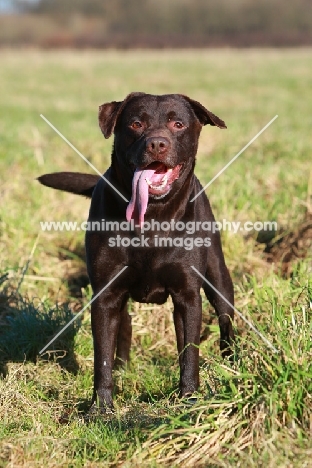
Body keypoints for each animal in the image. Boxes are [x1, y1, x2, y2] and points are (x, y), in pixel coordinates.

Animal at [38, 93, 234, 412]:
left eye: (178, 124)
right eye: (136, 123)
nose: (157, 144)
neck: (152, 215)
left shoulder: (188, 296)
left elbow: (189, 353)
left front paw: (189, 399)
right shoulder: (106, 295)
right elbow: (102, 356)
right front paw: (101, 407)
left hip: (219, 277)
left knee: (226, 319)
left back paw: (233, 364)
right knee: (125, 325)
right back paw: (122, 371)